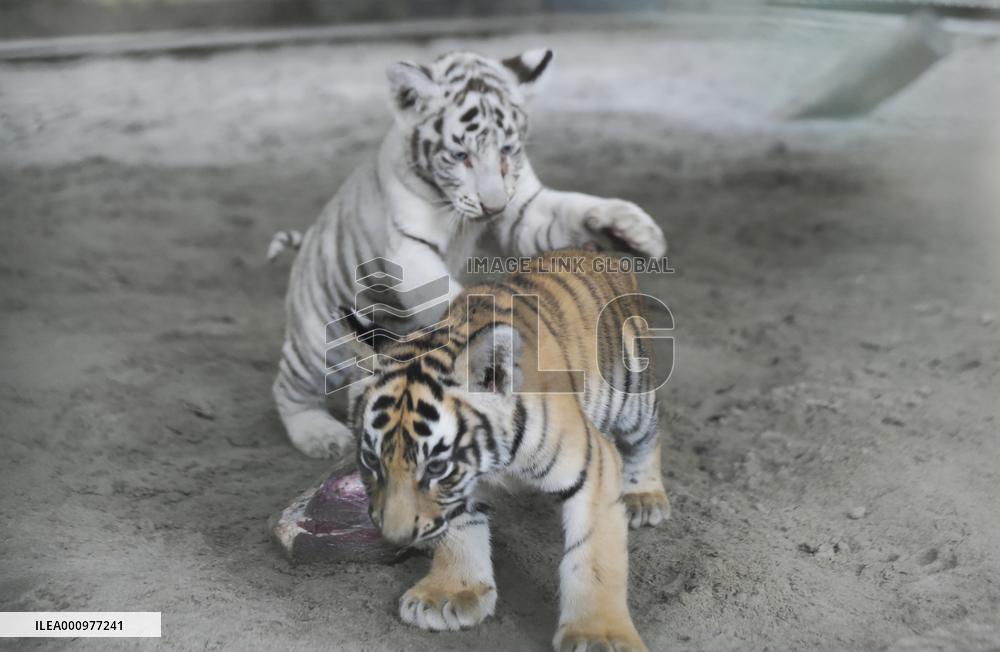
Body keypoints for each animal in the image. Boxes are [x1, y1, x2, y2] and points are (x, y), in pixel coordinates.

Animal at [273, 48, 667, 458]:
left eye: (507, 150)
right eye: (460, 155)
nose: (493, 207)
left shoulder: (524, 211)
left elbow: (573, 206)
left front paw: (637, 229)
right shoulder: (409, 248)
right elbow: (448, 295)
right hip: (318, 339)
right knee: (288, 388)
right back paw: (321, 434)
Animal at [343, 249, 669, 652]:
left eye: (435, 468)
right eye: (372, 460)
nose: (396, 537)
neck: (495, 464)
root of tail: (590, 251)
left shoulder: (593, 464)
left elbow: (592, 556)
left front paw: (598, 636)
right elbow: (461, 528)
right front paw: (450, 594)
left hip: (633, 392)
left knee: (648, 436)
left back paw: (644, 498)